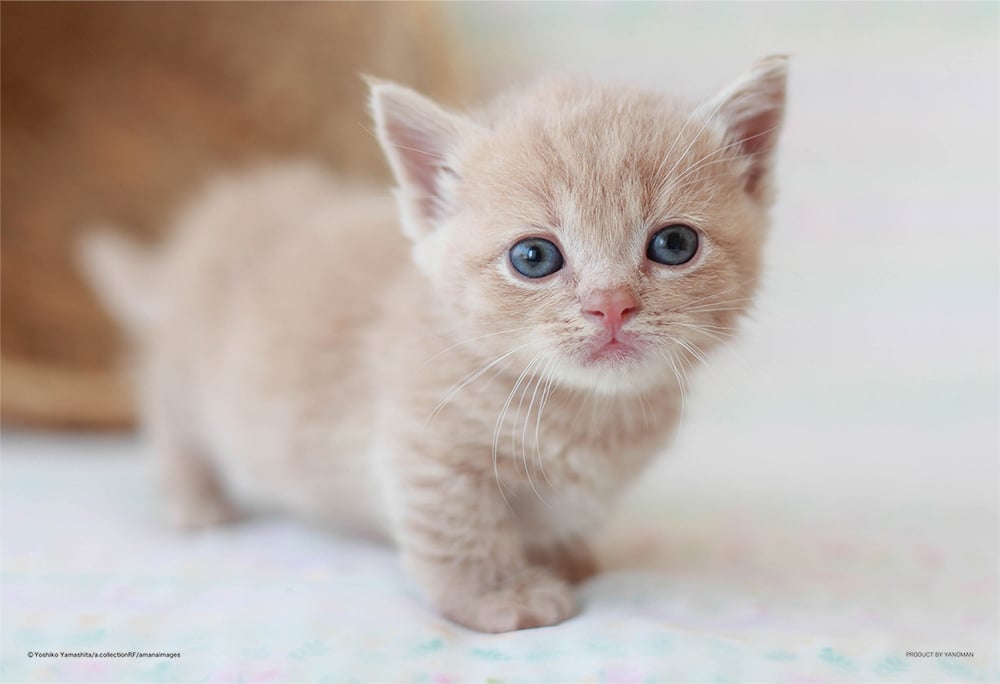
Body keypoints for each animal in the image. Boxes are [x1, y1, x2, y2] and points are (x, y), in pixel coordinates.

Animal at [82, 56, 788, 632]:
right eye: (534, 257)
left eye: (674, 244)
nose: (611, 303)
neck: (584, 412)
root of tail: (192, 242)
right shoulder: (427, 448)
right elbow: (458, 528)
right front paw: (502, 595)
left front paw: (566, 556)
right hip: (185, 377)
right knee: (171, 422)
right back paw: (196, 500)